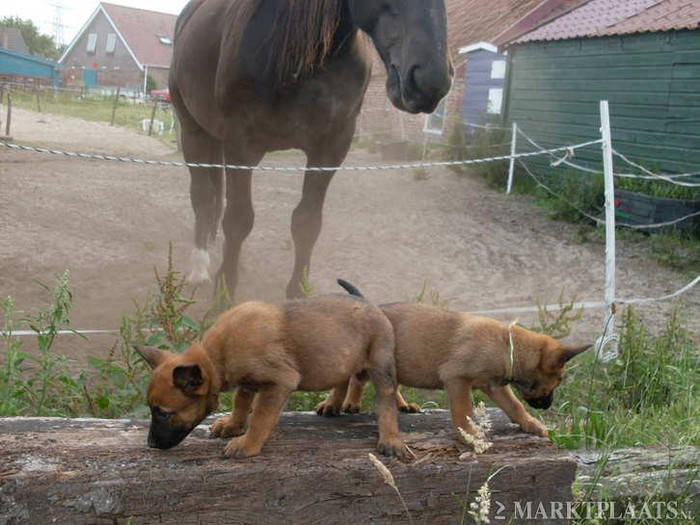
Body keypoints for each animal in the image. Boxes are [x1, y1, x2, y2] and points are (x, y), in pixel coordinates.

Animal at [135, 294, 409, 459]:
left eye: (163, 413)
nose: (150, 444)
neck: (217, 355)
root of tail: (372, 304)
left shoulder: (279, 382)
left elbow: (260, 418)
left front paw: (247, 444)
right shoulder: (247, 382)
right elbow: (241, 403)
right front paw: (233, 425)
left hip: (380, 365)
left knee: (386, 401)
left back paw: (390, 439)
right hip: (341, 359)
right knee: (342, 379)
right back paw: (332, 404)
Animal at [170, 0, 452, 298]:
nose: (432, 81)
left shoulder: (330, 148)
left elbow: (306, 222)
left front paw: (298, 293)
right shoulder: (241, 143)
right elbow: (239, 219)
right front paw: (223, 296)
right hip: (193, 132)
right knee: (203, 197)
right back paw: (200, 267)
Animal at [316, 280, 591, 441]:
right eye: (559, 379)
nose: (547, 406)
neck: (507, 345)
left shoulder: (495, 386)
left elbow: (515, 406)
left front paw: (530, 423)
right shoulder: (457, 380)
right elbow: (464, 410)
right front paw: (468, 433)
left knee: (379, 383)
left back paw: (398, 404)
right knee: (349, 379)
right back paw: (336, 404)